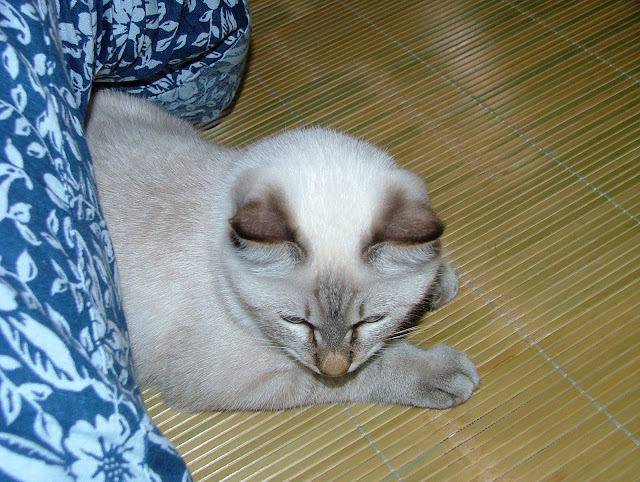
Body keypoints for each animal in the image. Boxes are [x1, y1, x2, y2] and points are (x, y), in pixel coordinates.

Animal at [85, 90, 479, 412]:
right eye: (295, 322)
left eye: (370, 321)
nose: (333, 366)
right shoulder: (249, 379)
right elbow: (361, 374)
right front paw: (442, 375)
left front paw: (438, 284)